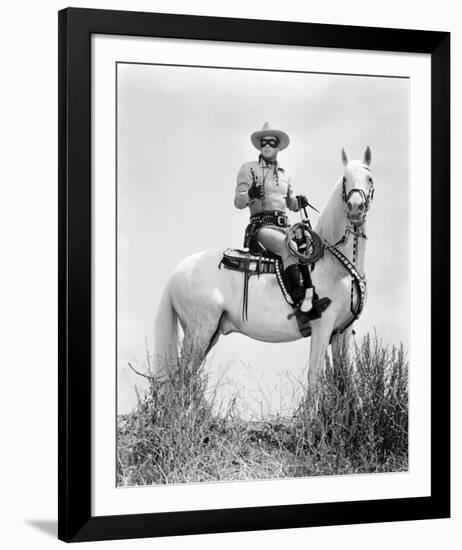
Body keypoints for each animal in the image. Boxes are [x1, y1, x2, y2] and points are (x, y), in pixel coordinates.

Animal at [153, 149, 374, 394]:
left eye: (369, 179)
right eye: (345, 179)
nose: (355, 207)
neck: (336, 266)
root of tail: (177, 272)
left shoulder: (341, 332)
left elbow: (344, 381)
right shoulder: (322, 325)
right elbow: (315, 376)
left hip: (208, 334)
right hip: (199, 331)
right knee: (180, 380)